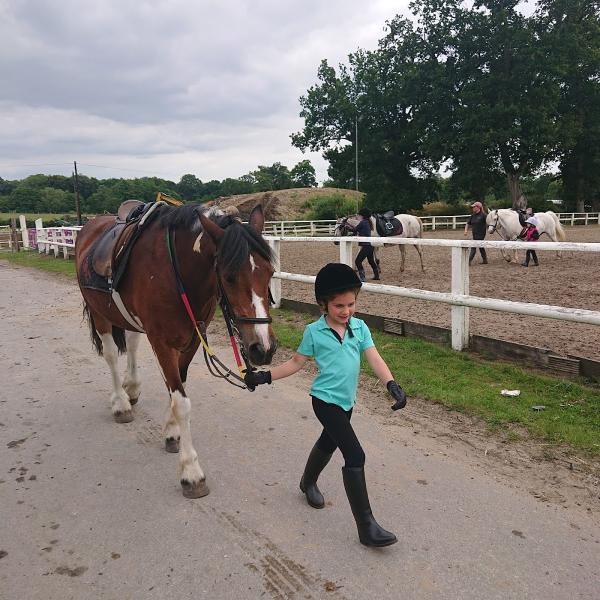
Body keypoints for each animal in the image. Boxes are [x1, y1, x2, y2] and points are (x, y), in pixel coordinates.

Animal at [74, 204, 276, 500]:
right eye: (228, 277)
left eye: (271, 273)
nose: (263, 348)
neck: (176, 272)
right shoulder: (161, 342)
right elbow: (181, 401)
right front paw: (191, 472)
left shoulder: (193, 338)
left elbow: (177, 387)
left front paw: (171, 433)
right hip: (100, 313)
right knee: (111, 356)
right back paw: (121, 402)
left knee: (132, 343)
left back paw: (132, 387)